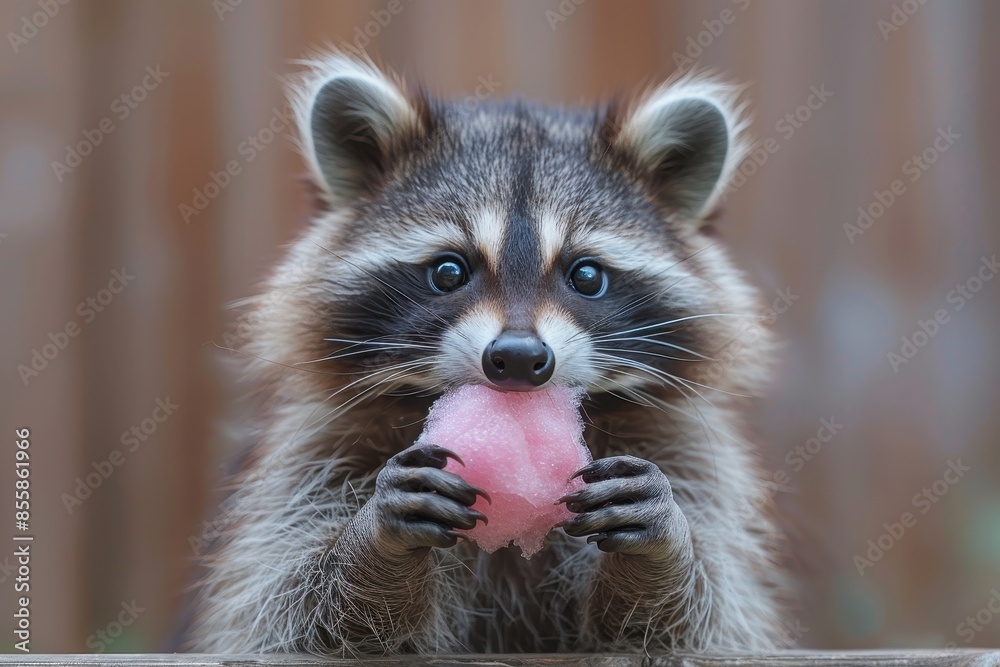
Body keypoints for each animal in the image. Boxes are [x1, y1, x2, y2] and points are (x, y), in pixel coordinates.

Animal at [183, 53, 786, 656]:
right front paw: (371, 544)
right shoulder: (316, 451)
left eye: (586, 276)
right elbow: (293, 610)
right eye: (449, 271)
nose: (518, 357)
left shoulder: (686, 454)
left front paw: (663, 549)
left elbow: (683, 623)